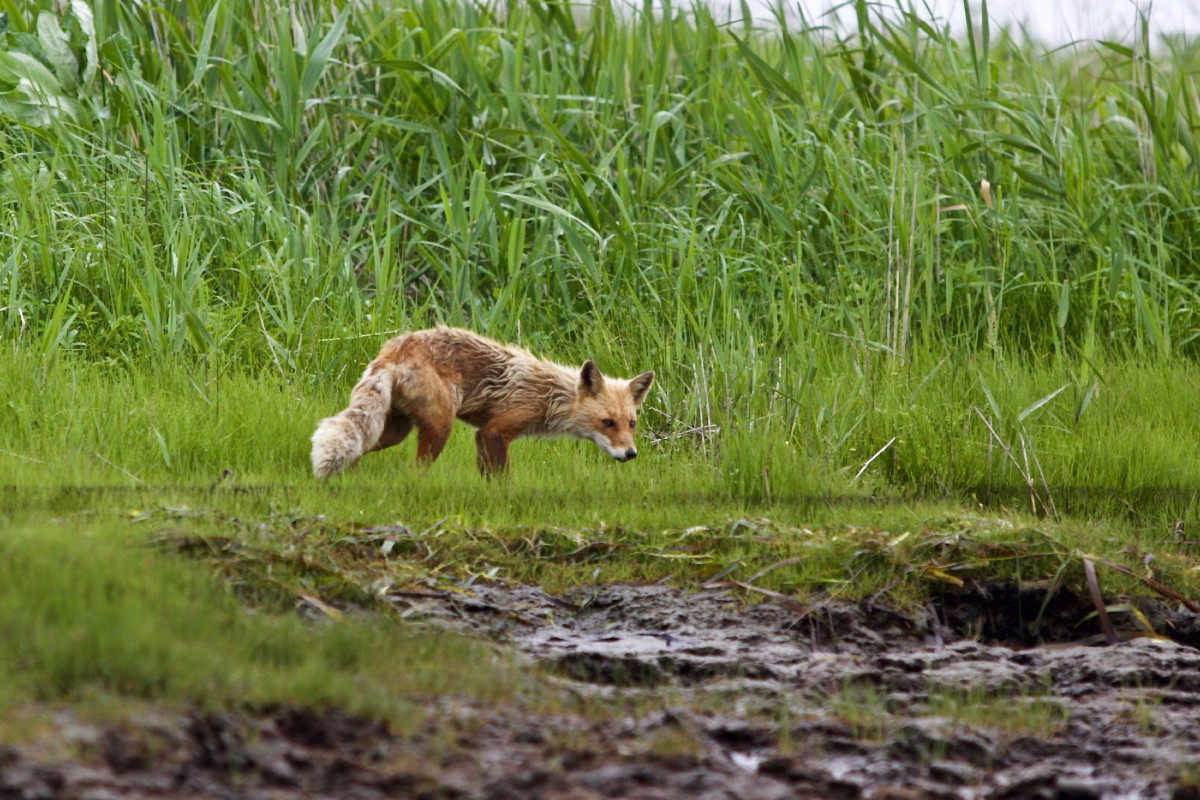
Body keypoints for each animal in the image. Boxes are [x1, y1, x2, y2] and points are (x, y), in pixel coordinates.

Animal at [304, 326, 652, 479]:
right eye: (606, 423)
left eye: (631, 424)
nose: (631, 454)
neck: (550, 396)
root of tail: (395, 347)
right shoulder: (497, 430)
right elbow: (503, 478)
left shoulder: (480, 434)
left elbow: (487, 475)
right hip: (438, 427)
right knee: (414, 469)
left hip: (393, 431)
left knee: (357, 448)